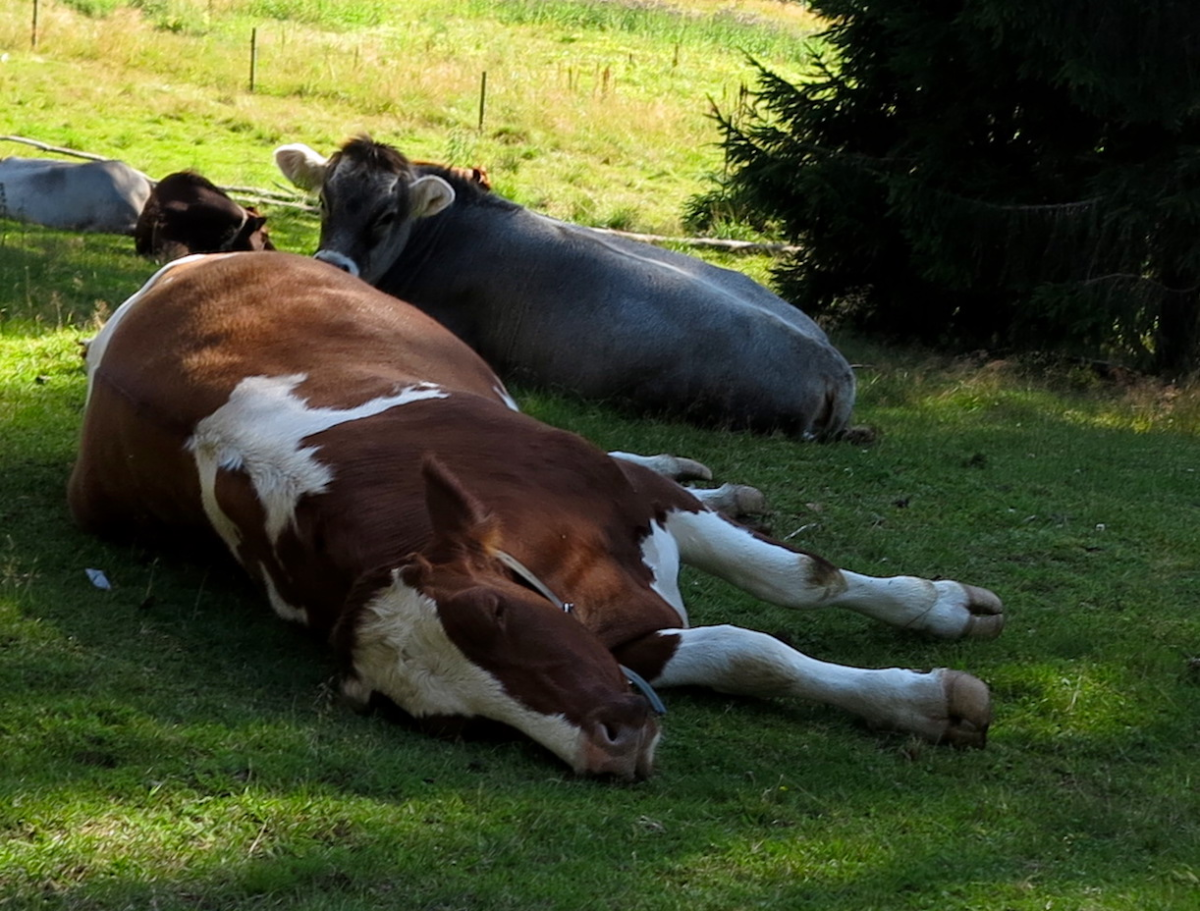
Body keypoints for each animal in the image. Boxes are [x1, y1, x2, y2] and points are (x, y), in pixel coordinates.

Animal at [69, 252, 1003, 779]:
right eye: (449, 722)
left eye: (493, 611)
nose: (608, 746)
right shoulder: (627, 642)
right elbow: (751, 656)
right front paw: (923, 704)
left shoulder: (620, 493)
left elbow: (804, 581)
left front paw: (940, 611)